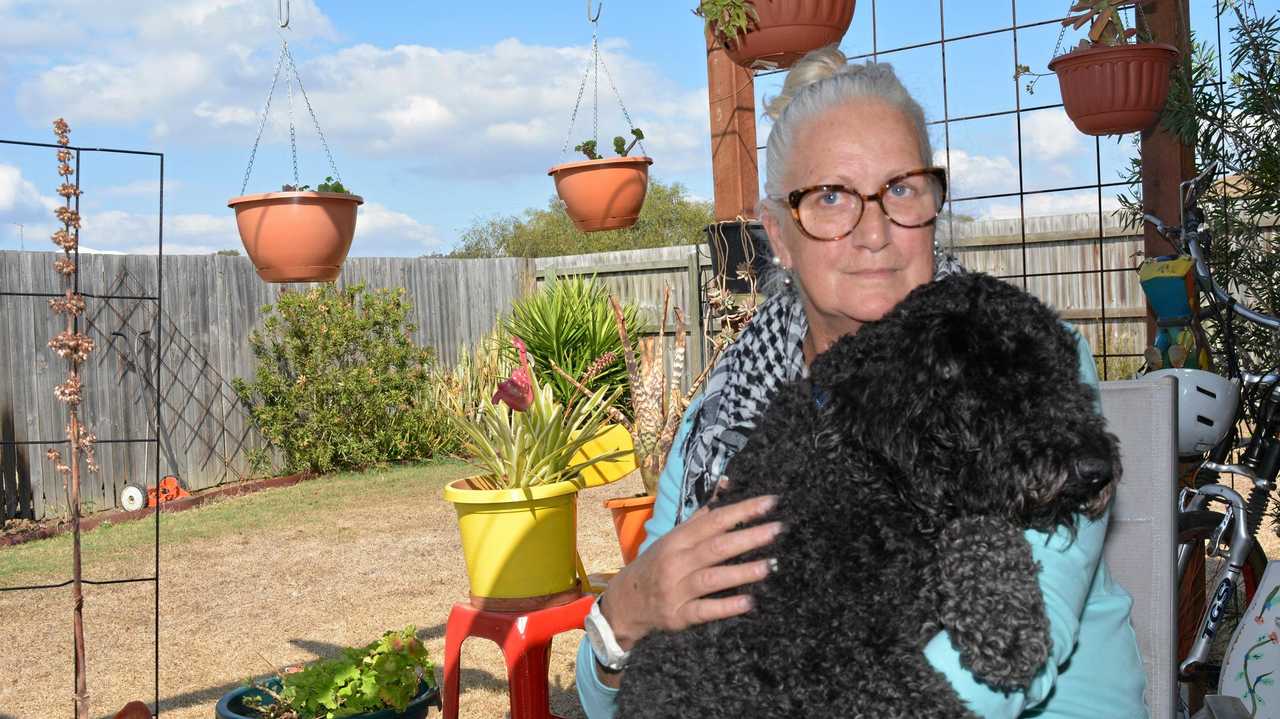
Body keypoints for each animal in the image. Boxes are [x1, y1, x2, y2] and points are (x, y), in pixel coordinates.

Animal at [616, 269, 1121, 716]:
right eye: (1005, 381)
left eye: (1068, 378)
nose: (1097, 469)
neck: (855, 465)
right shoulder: (833, 662)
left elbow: (985, 528)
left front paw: (1006, 623)